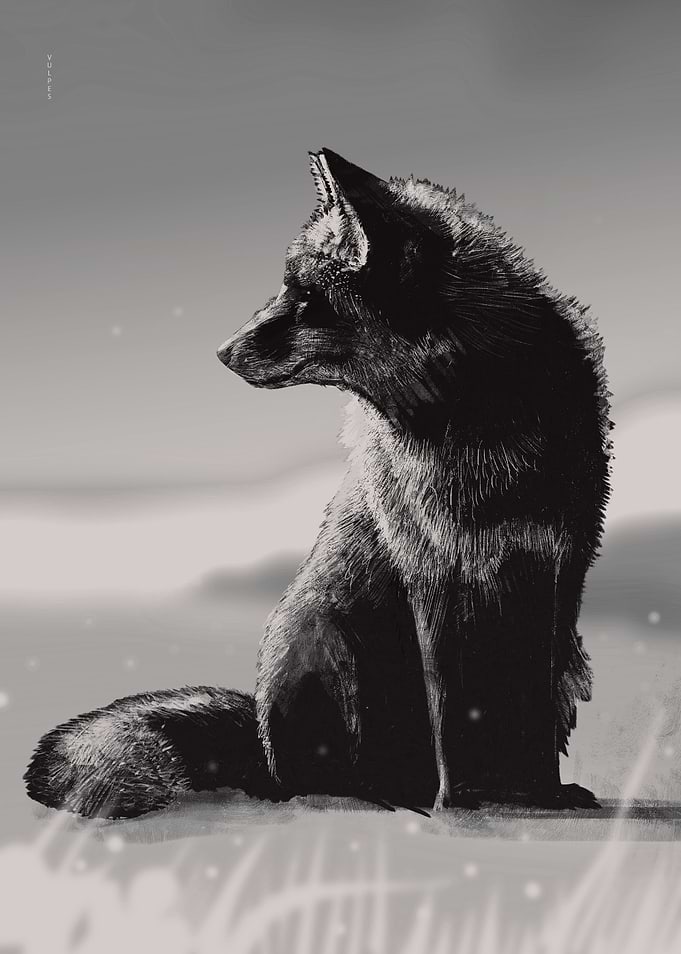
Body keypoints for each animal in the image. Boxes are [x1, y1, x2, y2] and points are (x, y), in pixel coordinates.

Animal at [25, 148, 611, 817]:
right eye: (286, 286)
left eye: (305, 297)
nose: (221, 350)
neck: (475, 426)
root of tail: (259, 742)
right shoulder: (437, 573)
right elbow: (459, 712)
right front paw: (470, 802)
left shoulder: (543, 565)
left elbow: (519, 710)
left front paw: (530, 796)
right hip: (329, 651)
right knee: (324, 781)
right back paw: (390, 798)